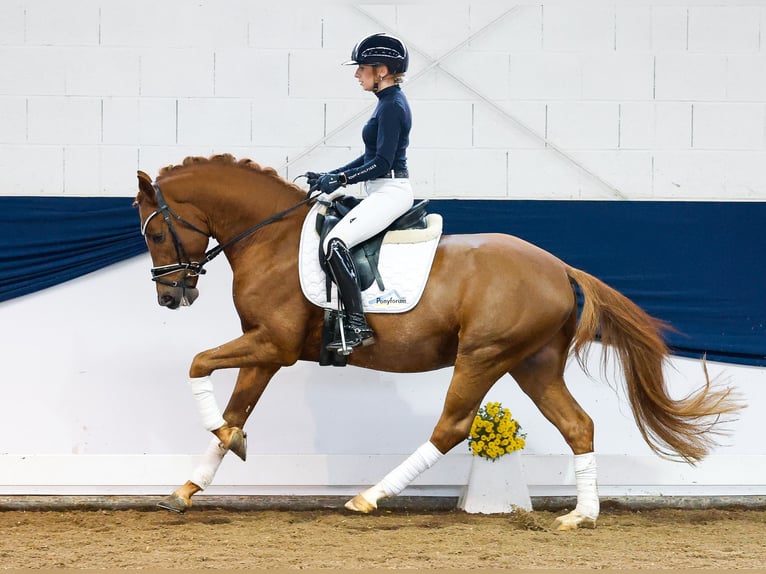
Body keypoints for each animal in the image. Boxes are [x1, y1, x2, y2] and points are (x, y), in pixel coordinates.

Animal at [134, 153, 744, 532]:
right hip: (533, 363)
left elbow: (197, 365)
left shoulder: (273, 345)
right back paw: (580, 517)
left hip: (483, 356)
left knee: (451, 427)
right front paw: (191, 484)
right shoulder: (263, 348)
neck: (272, 238)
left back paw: (369, 496)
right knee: (578, 426)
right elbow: (234, 407)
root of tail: (559, 267)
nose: (170, 297)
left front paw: (224, 444)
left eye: (157, 231)